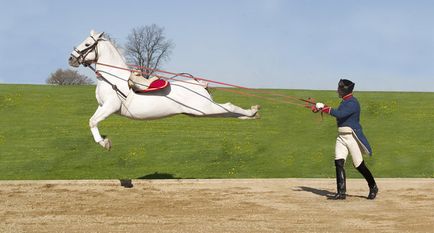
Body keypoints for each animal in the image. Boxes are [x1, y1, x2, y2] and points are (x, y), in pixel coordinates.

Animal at [69, 30, 260, 149]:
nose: (71, 59)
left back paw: (252, 111)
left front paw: (105, 143)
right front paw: (103, 141)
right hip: (201, 112)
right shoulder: (102, 106)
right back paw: (251, 115)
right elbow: (92, 121)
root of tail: (199, 83)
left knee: (229, 107)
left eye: (87, 44)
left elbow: (93, 122)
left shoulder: (111, 106)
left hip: (205, 109)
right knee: (229, 112)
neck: (114, 78)